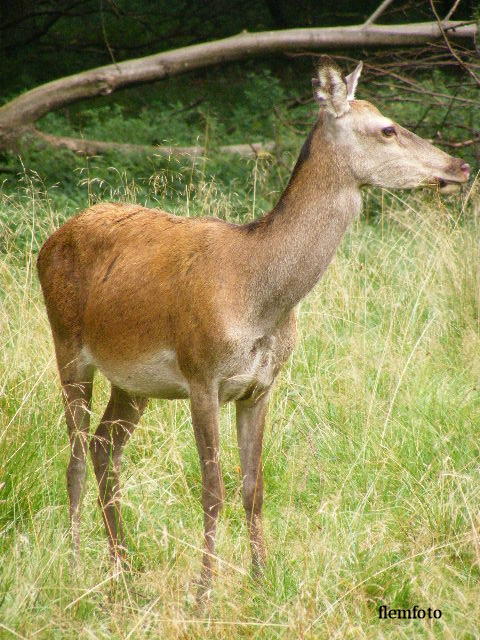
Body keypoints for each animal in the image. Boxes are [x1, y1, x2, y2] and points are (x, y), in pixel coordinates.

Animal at [36, 60, 468, 596]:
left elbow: (253, 488)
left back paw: (125, 570)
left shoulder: (261, 386)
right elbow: (213, 489)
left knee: (103, 449)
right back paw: (76, 568)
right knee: (75, 455)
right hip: (67, 343)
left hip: (132, 381)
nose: (460, 167)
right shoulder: (202, 375)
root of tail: (49, 242)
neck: (259, 301)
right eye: (387, 128)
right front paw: (204, 591)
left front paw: (262, 581)